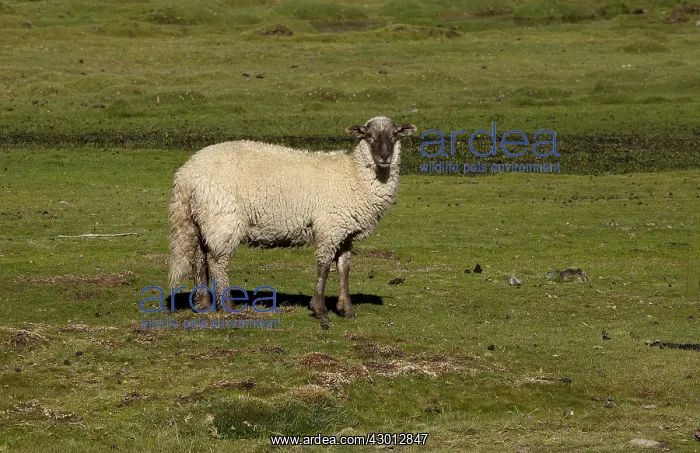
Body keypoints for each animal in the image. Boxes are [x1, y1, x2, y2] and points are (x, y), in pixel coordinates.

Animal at [168, 116, 417, 329]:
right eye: (369, 135)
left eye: (395, 135)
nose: (384, 157)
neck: (354, 175)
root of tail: (185, 174)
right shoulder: (329, 227)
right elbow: (323, 267)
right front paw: (320, 309)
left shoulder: (345, 232)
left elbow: (344, 269)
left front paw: (346, 309)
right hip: (223, 219)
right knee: (216, 261)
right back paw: (227, 305)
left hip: (202, 220)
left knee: (200, 258)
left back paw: (202, 302)